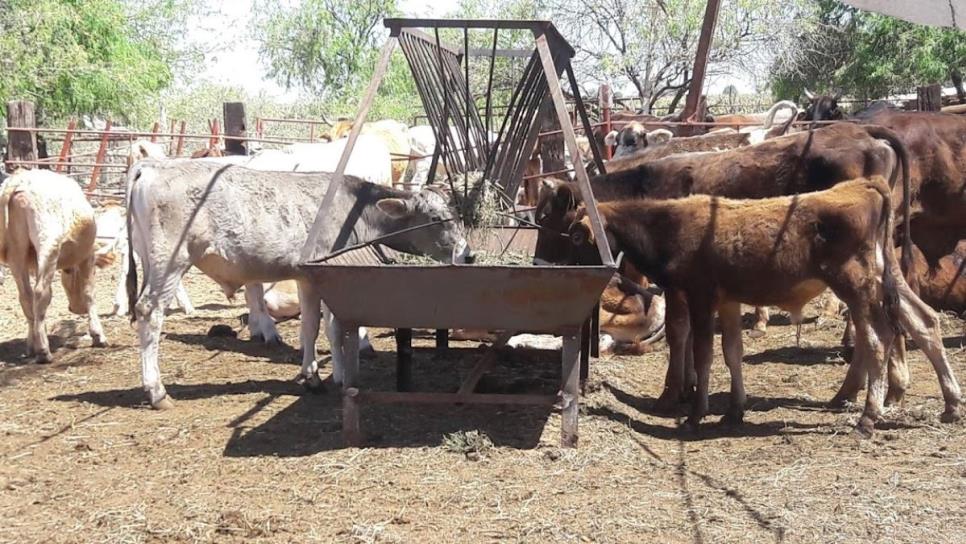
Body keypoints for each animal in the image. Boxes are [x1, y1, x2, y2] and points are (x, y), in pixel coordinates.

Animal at [0, 170, 108, 362]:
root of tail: (19, 180)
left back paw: (34, 346)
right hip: (48, 246)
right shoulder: (87, 257)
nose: (75, 309)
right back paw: (43, 350)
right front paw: (98, 335)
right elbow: (89, 293)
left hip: (15, 255)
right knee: (39, 293)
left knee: (26, 296)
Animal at [125, 158, 468, 408]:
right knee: (149, 312)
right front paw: (334, 377)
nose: (467, 254)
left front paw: (314, 376)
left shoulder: (308, 278)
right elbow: (332, 327)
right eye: (436, 218)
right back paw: (157, 392)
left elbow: (312, 327)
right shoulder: (328, 272)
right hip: (170, 262)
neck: (353, 210)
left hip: (149, 259)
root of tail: (151, 167)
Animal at [536, 122, 916, 412]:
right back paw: (887, 388)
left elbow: (679, 332)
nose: (539, 263)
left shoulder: (679, 284)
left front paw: (672, 392)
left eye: (550, 220)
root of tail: (863, 131)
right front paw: (689, 385)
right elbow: (690, 334)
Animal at [572, 176, 964, 436]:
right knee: (923, 322)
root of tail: (862, 185)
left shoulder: (700, 296)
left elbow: (703, 354)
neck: (672, 225)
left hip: (857, 286)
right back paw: (950, 404)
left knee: (878, 339)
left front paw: (697, 413)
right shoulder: (728, 301)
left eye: (575, 234)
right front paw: (734, 409)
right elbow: (732, 352)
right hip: (886, 278)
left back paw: (869, 416)